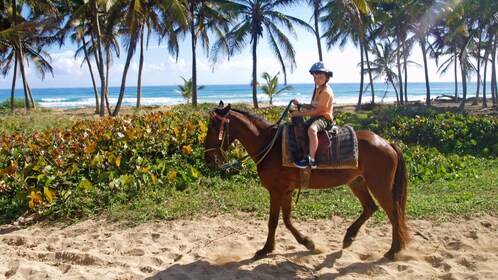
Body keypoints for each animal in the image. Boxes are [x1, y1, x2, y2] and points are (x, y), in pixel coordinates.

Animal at [202, 101, 408, 260]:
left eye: (214, 127)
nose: (208, 159)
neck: (270, 145)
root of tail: (387, 143)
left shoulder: (276, 191)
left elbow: (273, 221)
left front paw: (266, 249)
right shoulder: (286, 191)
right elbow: (286, 220)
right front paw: (307, 242)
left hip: (379, 186)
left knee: (394, 214)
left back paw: (393, 250)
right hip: (357, 182)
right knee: (370, 208)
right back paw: (349, 236)